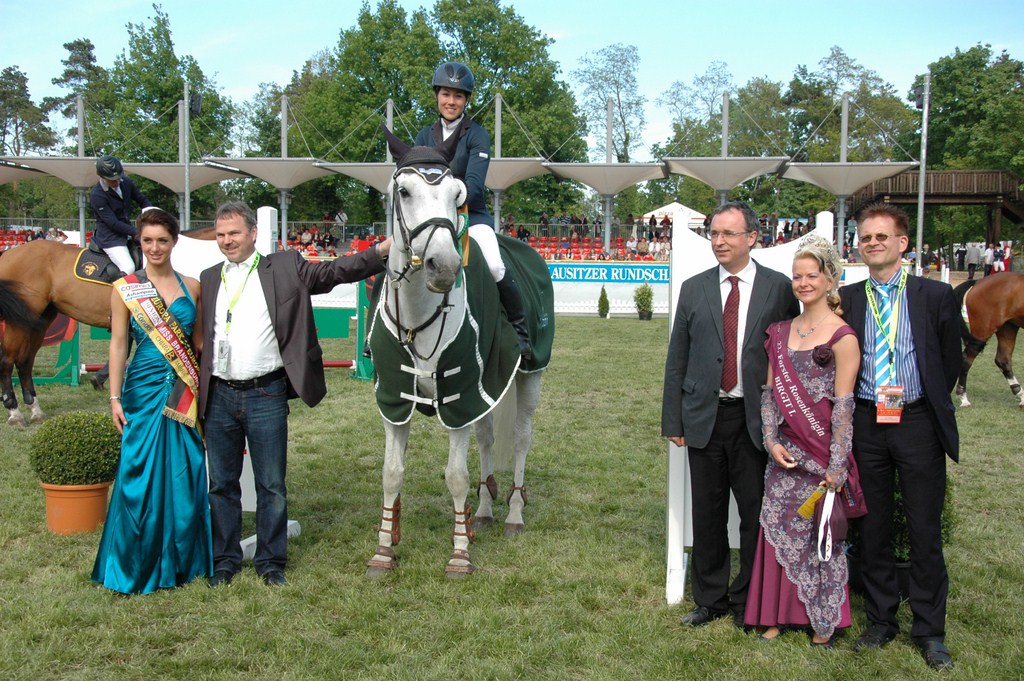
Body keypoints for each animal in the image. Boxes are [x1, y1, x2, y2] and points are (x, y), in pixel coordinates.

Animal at [0, 231, 216, 428]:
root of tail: (9, 254)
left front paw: (99, 379)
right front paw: (101, 380)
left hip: (40, 319)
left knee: (25, 362)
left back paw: (35, 409)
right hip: (19, 323)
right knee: (8, 361)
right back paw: (15, 412)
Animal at [364, 130, 548, 577]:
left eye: (457, 194)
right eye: (404, 191)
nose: (444, 267)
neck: (418, 315)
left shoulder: (459, 397)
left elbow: (456, 477)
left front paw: (460, 554)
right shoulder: (395, 400)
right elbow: (391, 473)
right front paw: (384, 550)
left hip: (529, 377)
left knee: (521, 438)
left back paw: (513, 512)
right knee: (486, 439)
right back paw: (482, 510)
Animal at [950, 270, 1024, 409]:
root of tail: (978, 282)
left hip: (1008, 327)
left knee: (1003, 360)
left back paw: (1020, 394)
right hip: (984, 329)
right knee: (966, 359)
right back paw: (963, 398)